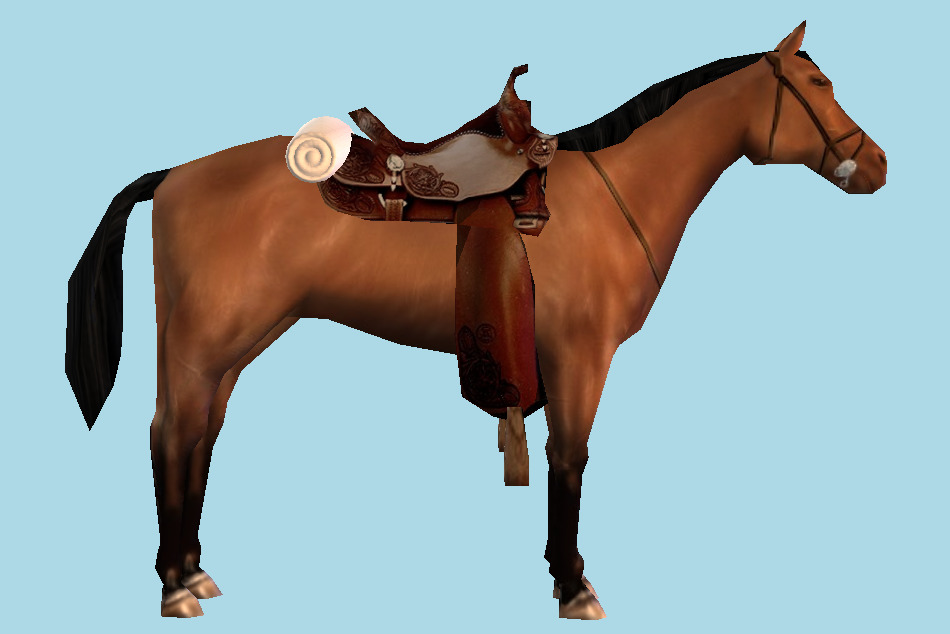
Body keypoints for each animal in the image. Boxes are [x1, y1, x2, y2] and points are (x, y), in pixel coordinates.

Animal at [65, 21, 886, 620]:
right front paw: (573, 585)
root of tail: (173, 176)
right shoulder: (581, 356)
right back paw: (174, 585)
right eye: (818, 85)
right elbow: (569, 459)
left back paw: (194, 572)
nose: (875, 164)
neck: (615, 192)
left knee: (199, 437)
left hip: (232, 346)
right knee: (171, 435)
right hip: (205, 342)